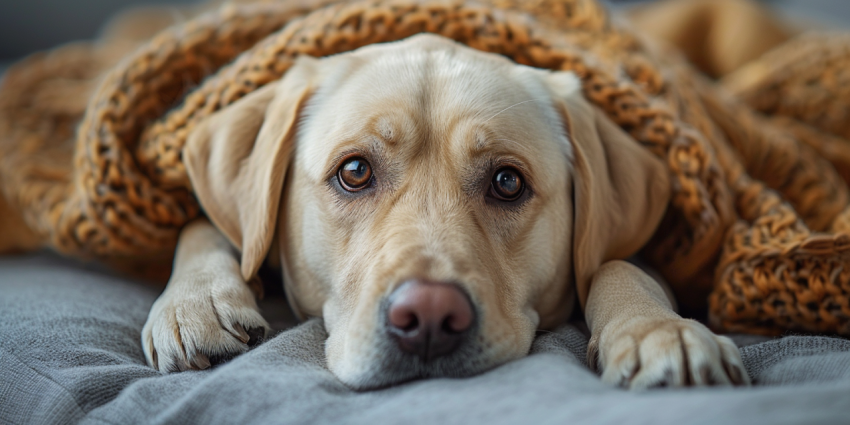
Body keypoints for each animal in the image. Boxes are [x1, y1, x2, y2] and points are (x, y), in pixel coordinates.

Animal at [141, 34, 748, 390]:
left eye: (507, 182)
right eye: (354, 171)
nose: (429, 317)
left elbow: (618, 264)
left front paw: (658, 331)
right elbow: (202, 224)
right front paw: (195, 303)